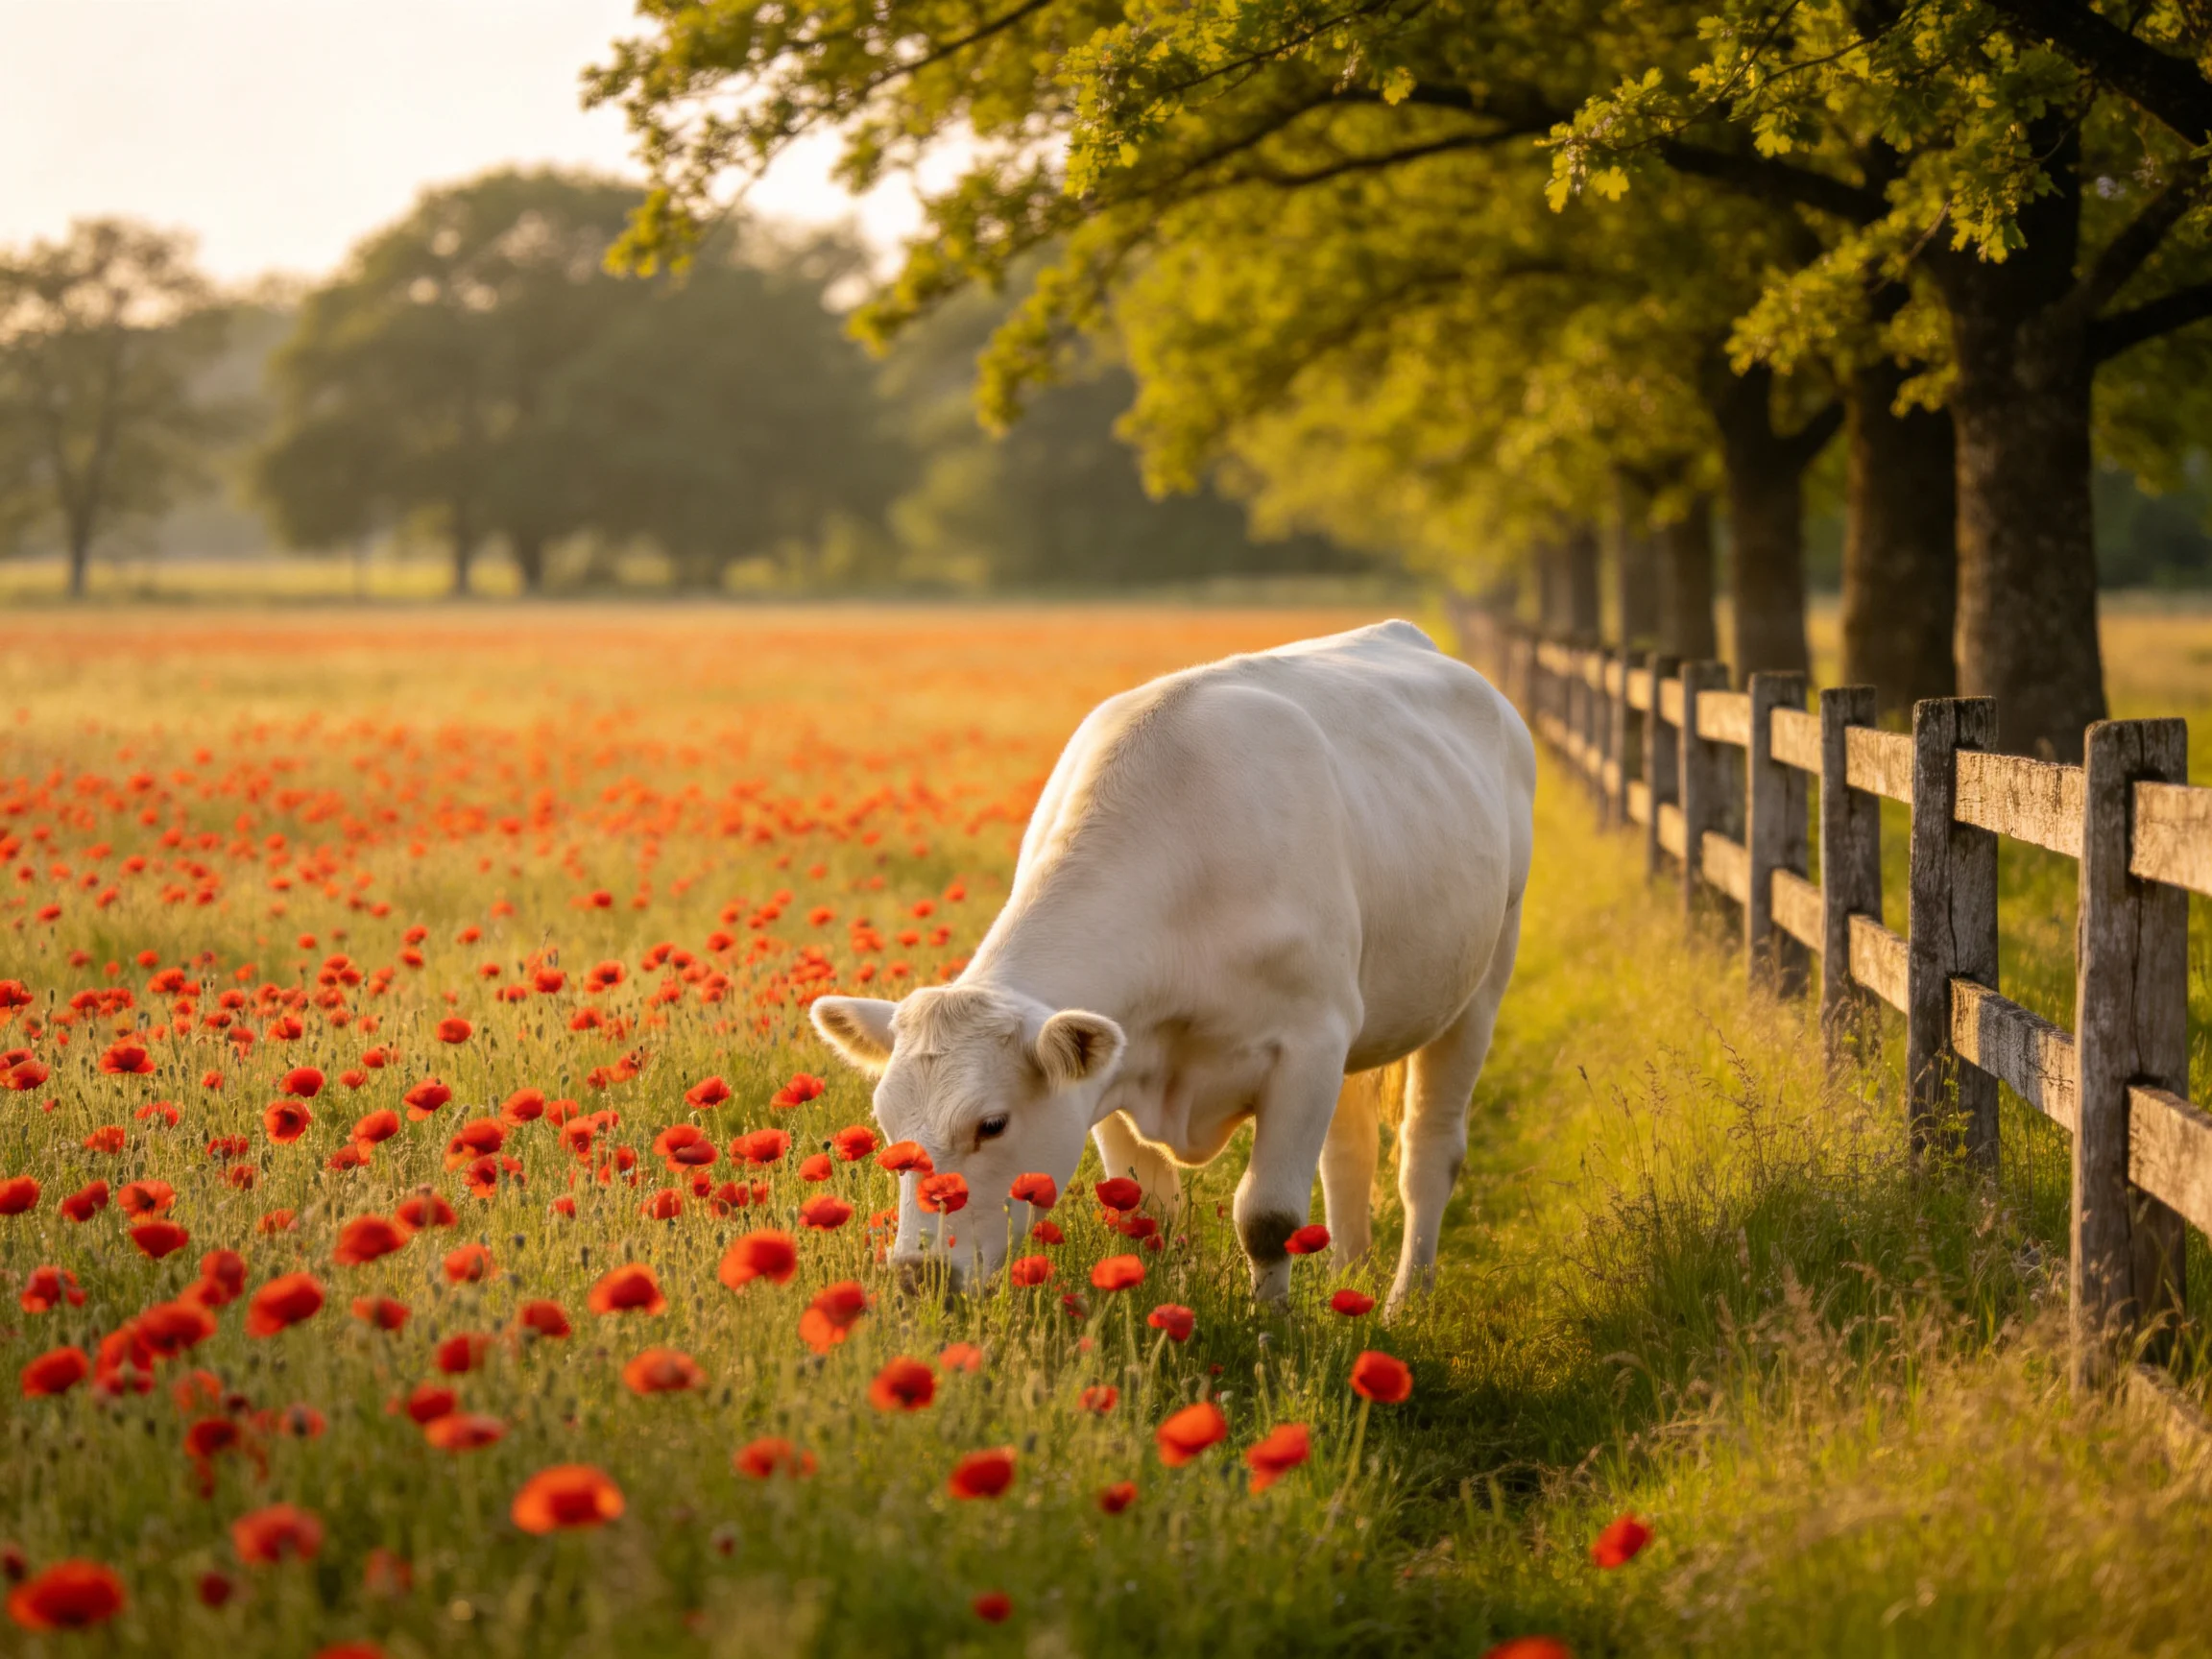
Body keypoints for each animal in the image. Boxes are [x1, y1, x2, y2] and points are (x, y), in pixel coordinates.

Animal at [810, 619, 1535, 1313]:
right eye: (887, 1124)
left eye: (992, 1124)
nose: (918, 1275)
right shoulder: (1114, 1071)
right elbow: (1147, 1212)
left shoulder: (1308, 1047)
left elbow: (1267, 1218)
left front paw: (1271, 1334)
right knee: (1351, 1151)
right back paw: (1348, 1282)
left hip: (1483, 981)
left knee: (1428, 1152)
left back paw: (1404, 1303)